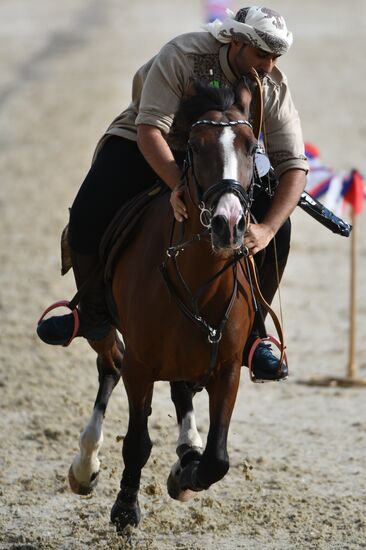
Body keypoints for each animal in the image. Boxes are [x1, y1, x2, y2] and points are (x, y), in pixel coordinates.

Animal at [67, 81, 256, 536]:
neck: (198, 278)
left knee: (179, 388)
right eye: (196, 146)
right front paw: (124, 509)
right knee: (110, 364)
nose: (228, 223)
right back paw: (85, 465)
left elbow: (217, 459)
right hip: (111, 334)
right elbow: (137, 443)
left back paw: (187, 448)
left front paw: (186, 472)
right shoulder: (141, 363)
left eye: (250, 146)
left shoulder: (226, 368)